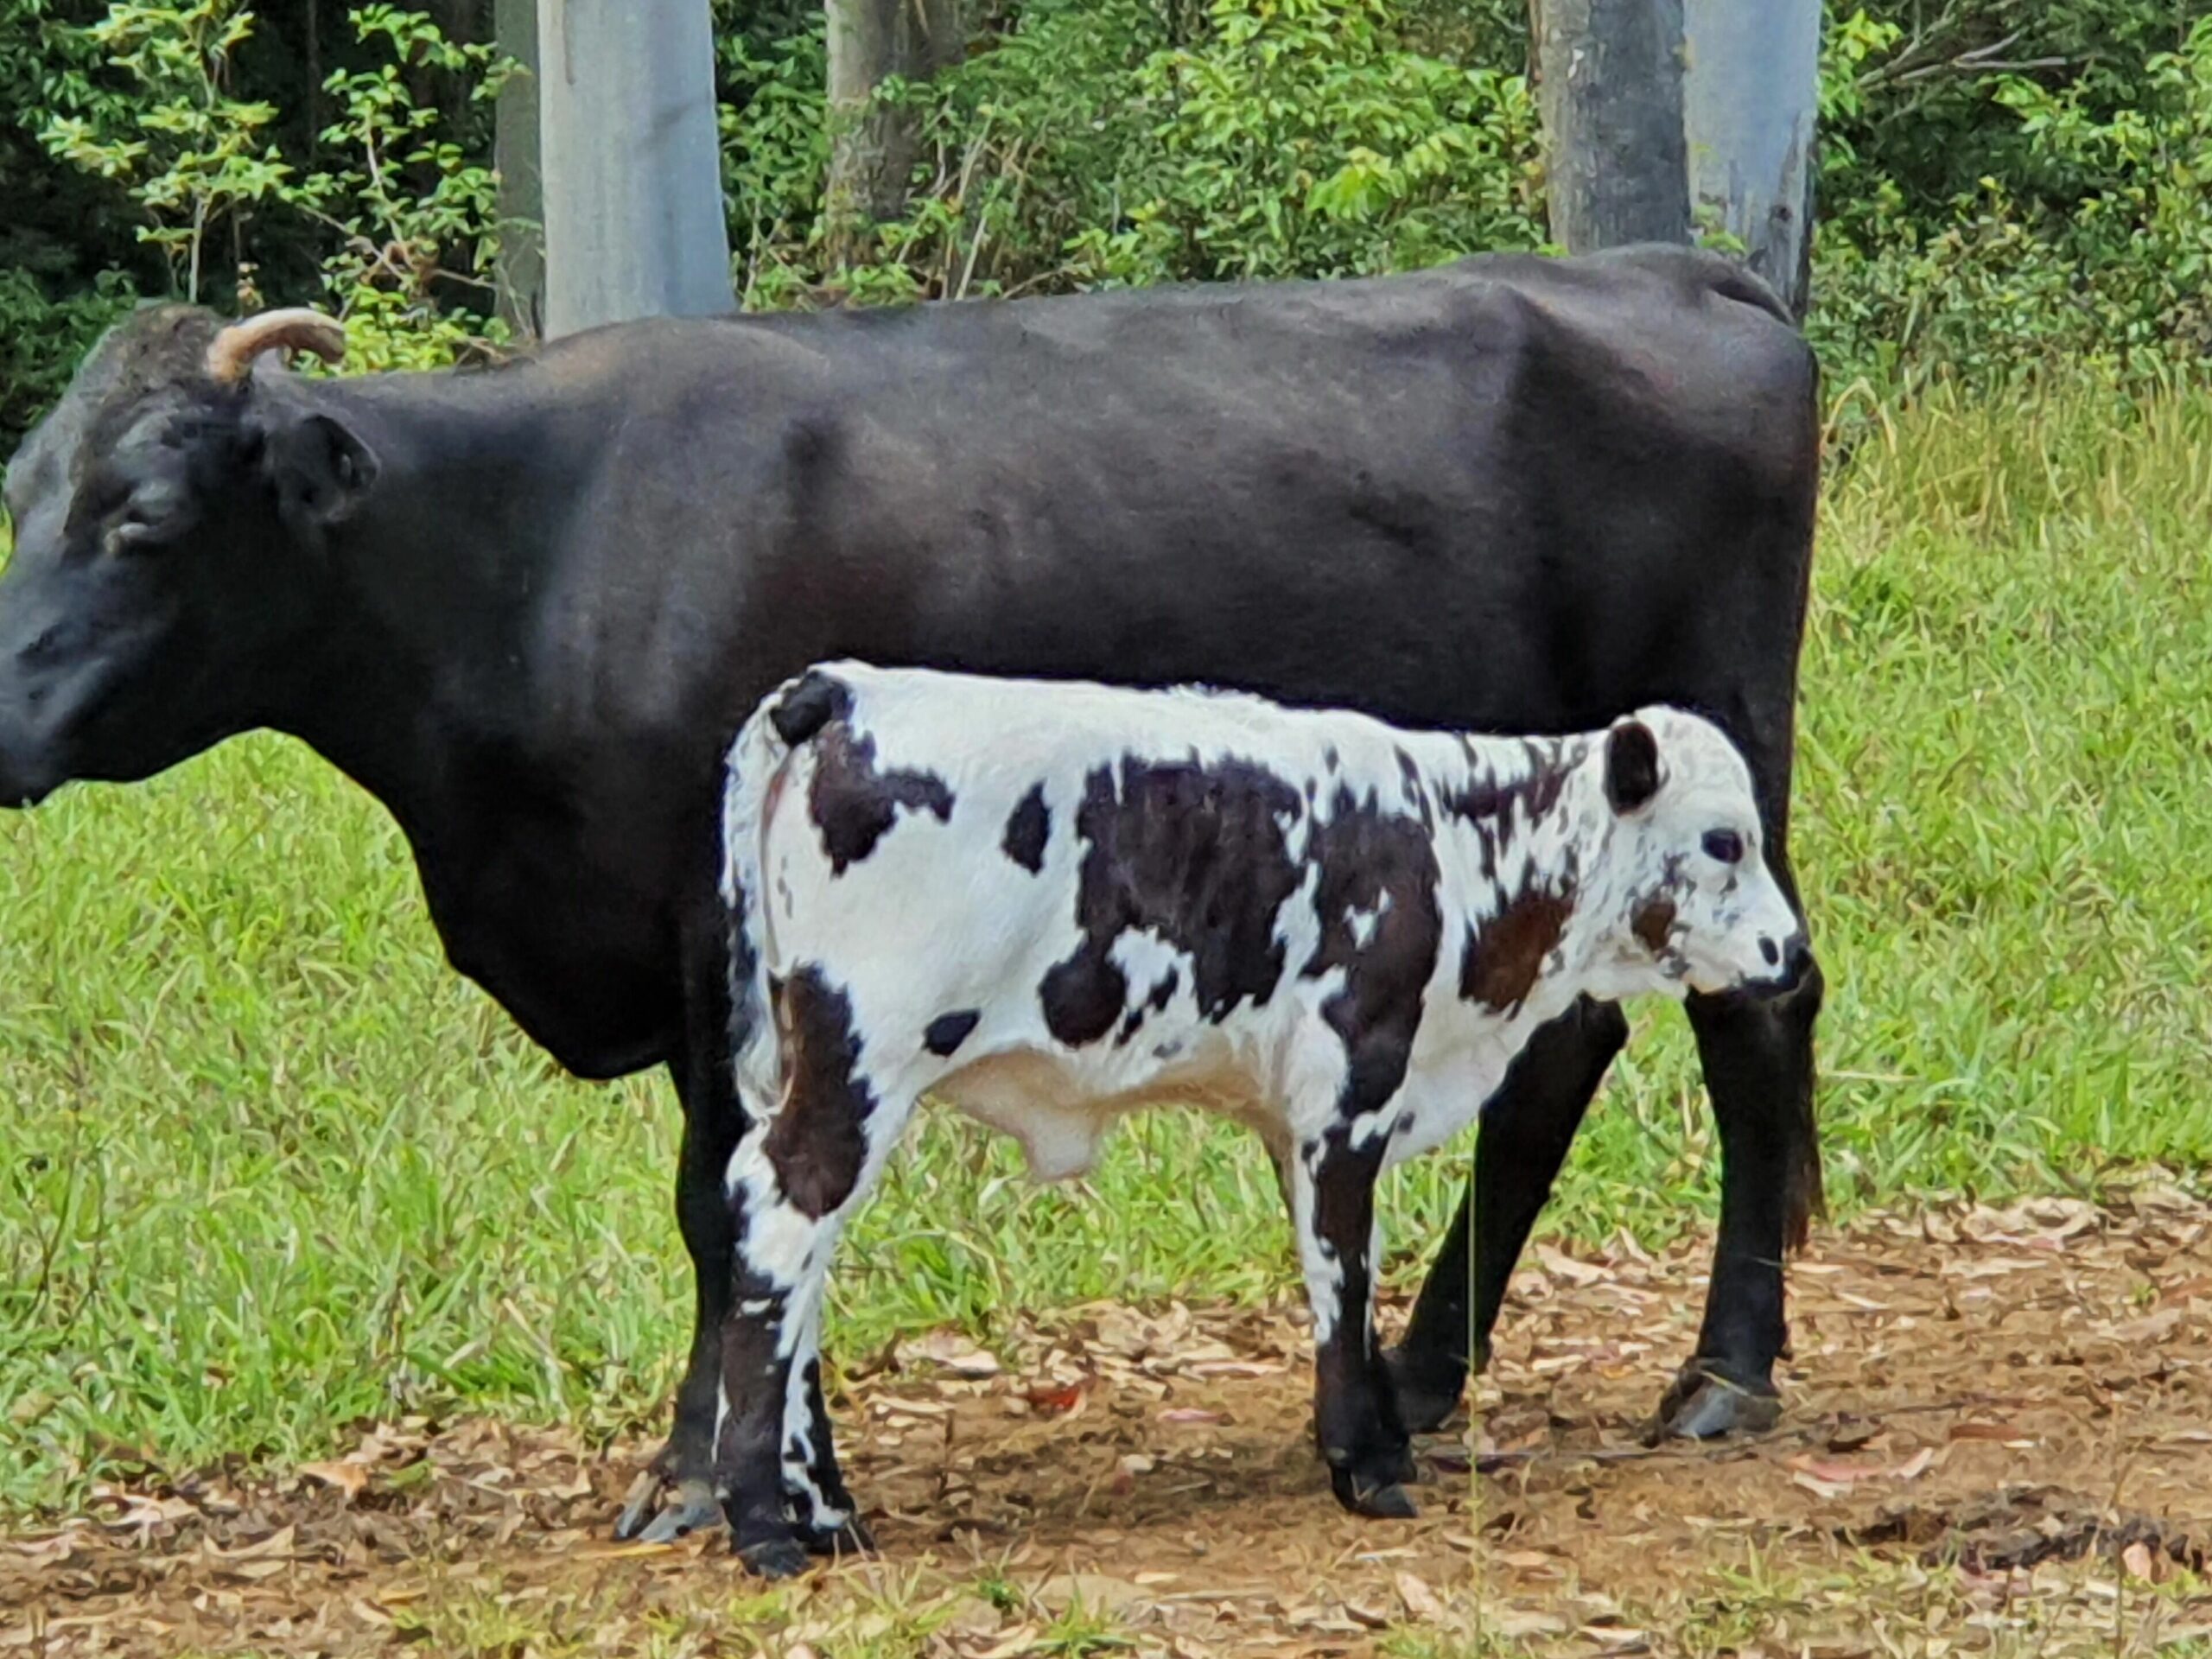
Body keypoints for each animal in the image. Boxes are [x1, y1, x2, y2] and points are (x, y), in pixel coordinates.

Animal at [716, 658, 1804, 1574]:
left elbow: (1344, 1266)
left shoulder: (1304, 1119)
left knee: (790, 1248)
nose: (1792, 952)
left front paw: (1381, 1441)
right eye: (1723, 840)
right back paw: (765, 1524)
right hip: (861, 1066)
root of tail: (840, 690)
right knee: (781, 1225)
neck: (1452, 838)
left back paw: (823, 1514)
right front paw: (1365, 1465)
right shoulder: (1350, 1090)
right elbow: (1342, 1265)